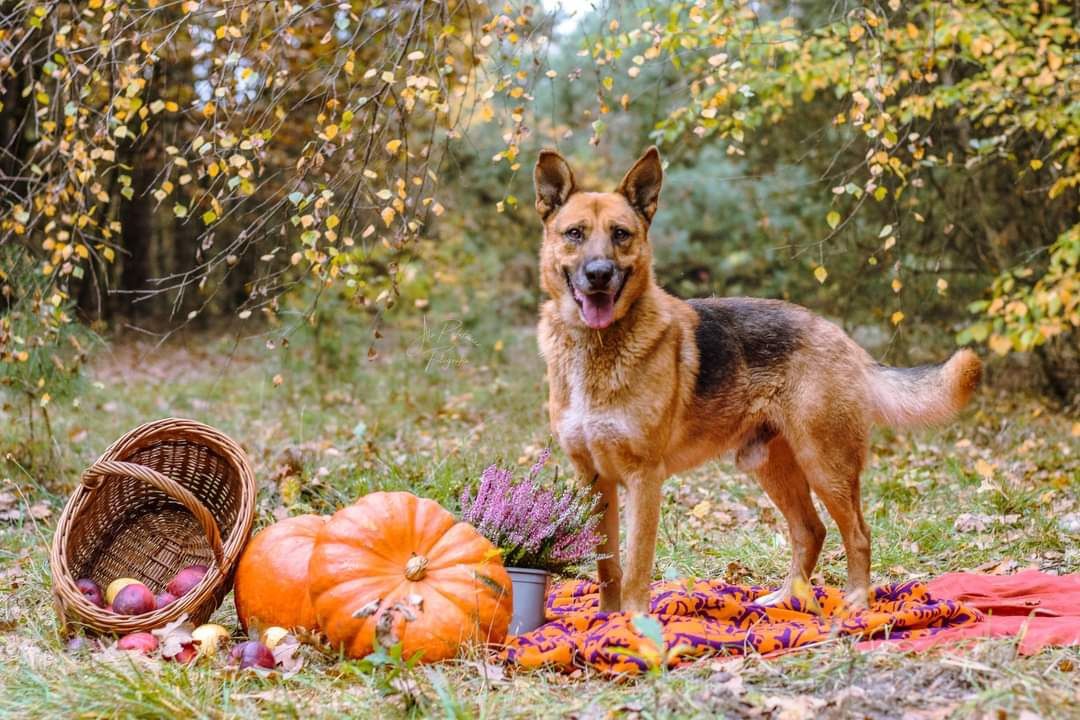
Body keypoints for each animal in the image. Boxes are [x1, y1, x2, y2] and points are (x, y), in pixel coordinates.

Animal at [531, 146, 980, 613]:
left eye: (620, 234)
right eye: (575, 234)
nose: (599, 274)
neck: (597, 347)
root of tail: (842, 338)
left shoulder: (643, 479)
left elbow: (636, 567)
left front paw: (633, 623)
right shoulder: (594, 481)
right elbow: (608, 567)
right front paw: (604, 619)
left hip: (826, 466)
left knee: (857, 533)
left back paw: (856, 601)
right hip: (772, 468)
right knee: (811, 530)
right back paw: (785, 600)